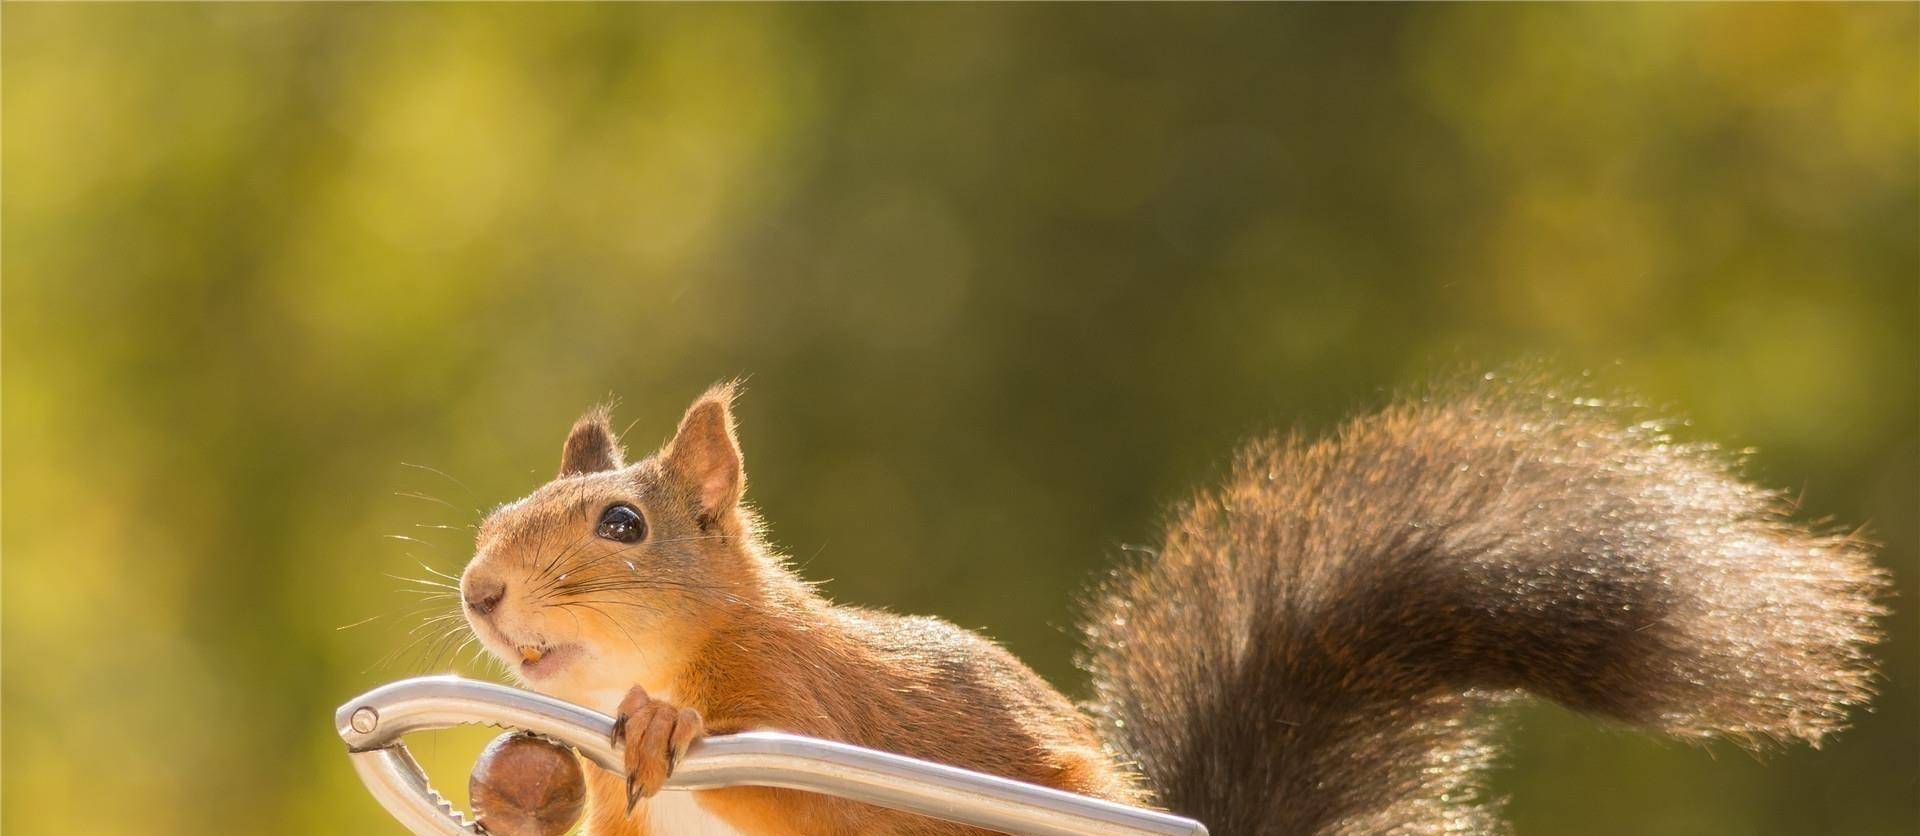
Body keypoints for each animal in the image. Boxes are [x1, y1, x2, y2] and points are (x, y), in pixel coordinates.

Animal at [456, 382, 1881, 834]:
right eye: (489, 516)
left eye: (622, 526)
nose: (478, 591)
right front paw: (526, 774)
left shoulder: (820, 712)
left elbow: (805, 782)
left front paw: (661, 720)